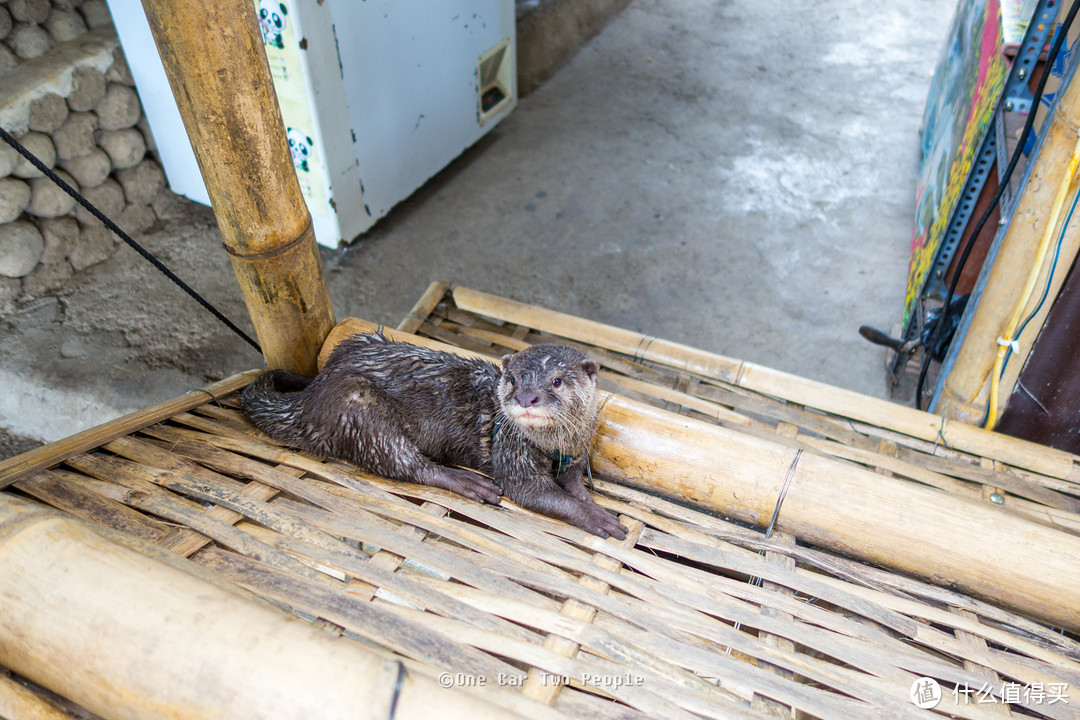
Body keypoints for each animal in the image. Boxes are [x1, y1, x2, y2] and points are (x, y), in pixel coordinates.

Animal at [236, 330, 626, 535]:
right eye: (513, 379)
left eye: (556, 380)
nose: (526, 397)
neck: (557, 445)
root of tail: (309, 399)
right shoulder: (513, 452)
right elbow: (538, 493)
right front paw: (597, 517)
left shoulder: (578, 450)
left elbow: (574, 480)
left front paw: (588, 498)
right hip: (359, 410)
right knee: (408, 464)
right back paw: (470, 484)